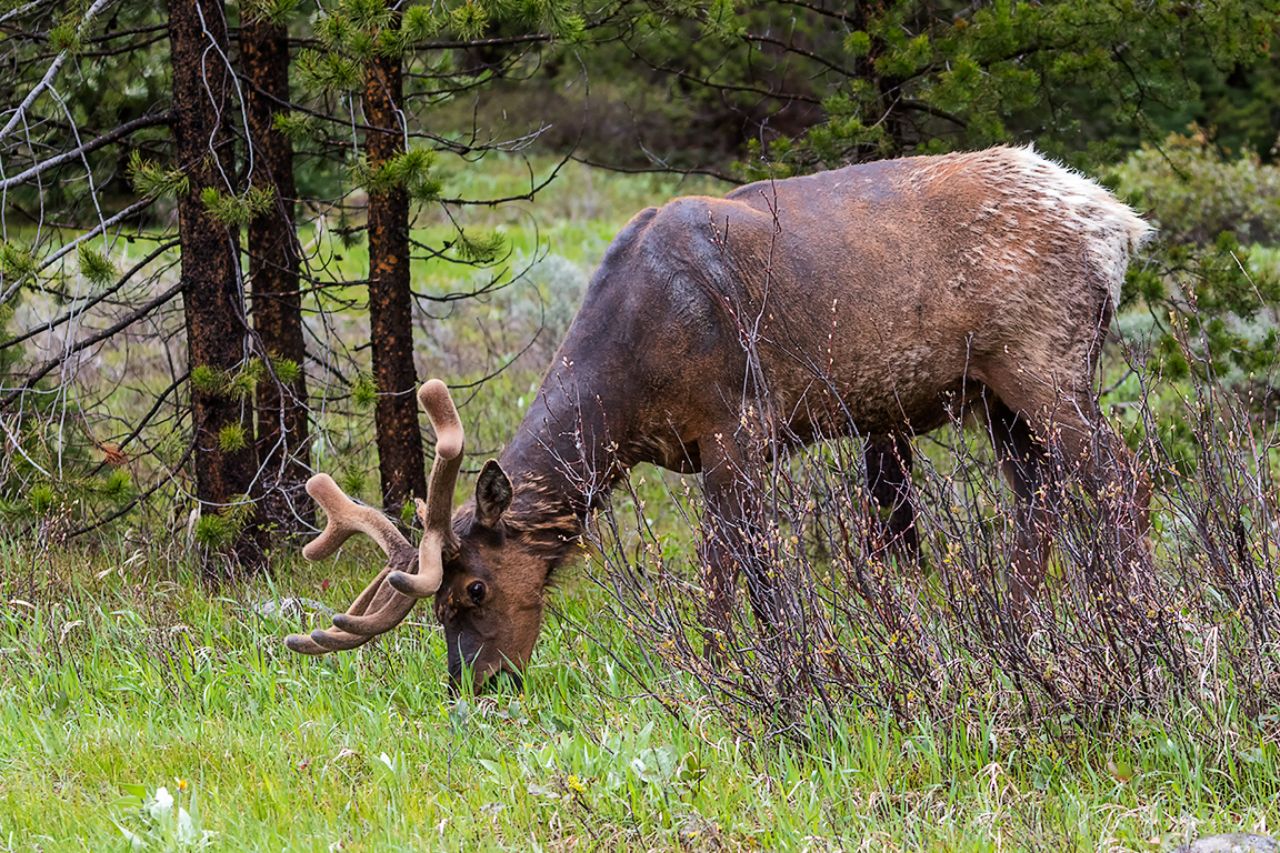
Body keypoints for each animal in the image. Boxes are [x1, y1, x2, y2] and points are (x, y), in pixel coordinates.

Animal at [285, 145, 1154, 690]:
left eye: (473, 587)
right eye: (437, 608)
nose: (478, 684)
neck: (627, 384)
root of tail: (1121, 225)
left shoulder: (740, 423)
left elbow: (736, 563)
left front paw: (726, 663)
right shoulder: (711, 445)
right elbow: (741, 558)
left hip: (1046, 357)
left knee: (1123, 479)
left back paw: (1138, 624)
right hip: (998, 395)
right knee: (1039, 499)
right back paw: (1019, 625)